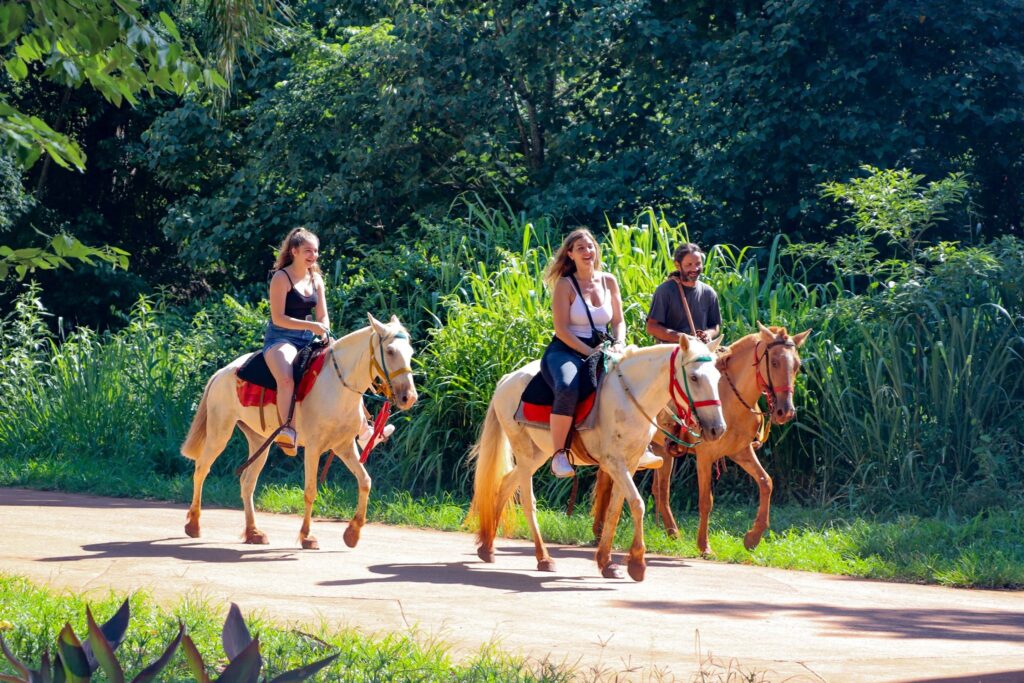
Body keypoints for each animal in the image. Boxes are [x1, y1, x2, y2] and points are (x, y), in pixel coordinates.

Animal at [180, 315, 415, 548]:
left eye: (411, 352)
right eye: (390, 351)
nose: (409, 397)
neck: (337, 386)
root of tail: (221, 373)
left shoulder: (344, 446)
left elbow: (365, 482)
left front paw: (352, 533)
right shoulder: (313, 447)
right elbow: (310, 491)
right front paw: (307, 536)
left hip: (259, 441)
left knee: (247, 483)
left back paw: (253, 532)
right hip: (219, 432)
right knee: (202, 468)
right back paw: (194, 525)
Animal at [471, 333, 729, 581]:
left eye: (717, 377)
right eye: (694, 377)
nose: (717, 429)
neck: (630, 397)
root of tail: (507, 379)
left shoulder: (630, 463)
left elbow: (615, 509)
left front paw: (606, 562)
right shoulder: (613, 462)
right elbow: (637, 504)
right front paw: (637, 563)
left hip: (538, 454)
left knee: (505, 484)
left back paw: (488, 547)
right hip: (524, 452)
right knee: (527, 501)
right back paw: (543, 557)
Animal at [593, 325, 806, 557]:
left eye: (797, 365)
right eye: (774, 362)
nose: (785, 411)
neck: (731, 396)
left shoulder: (741, 451)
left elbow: (766, 482)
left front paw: (753, 537)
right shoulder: (705, 455)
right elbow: (706, 500)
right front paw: (704, 545)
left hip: (661, 450)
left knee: (660, 491)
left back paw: (671, 533)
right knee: (611, 482)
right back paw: (600, 531)